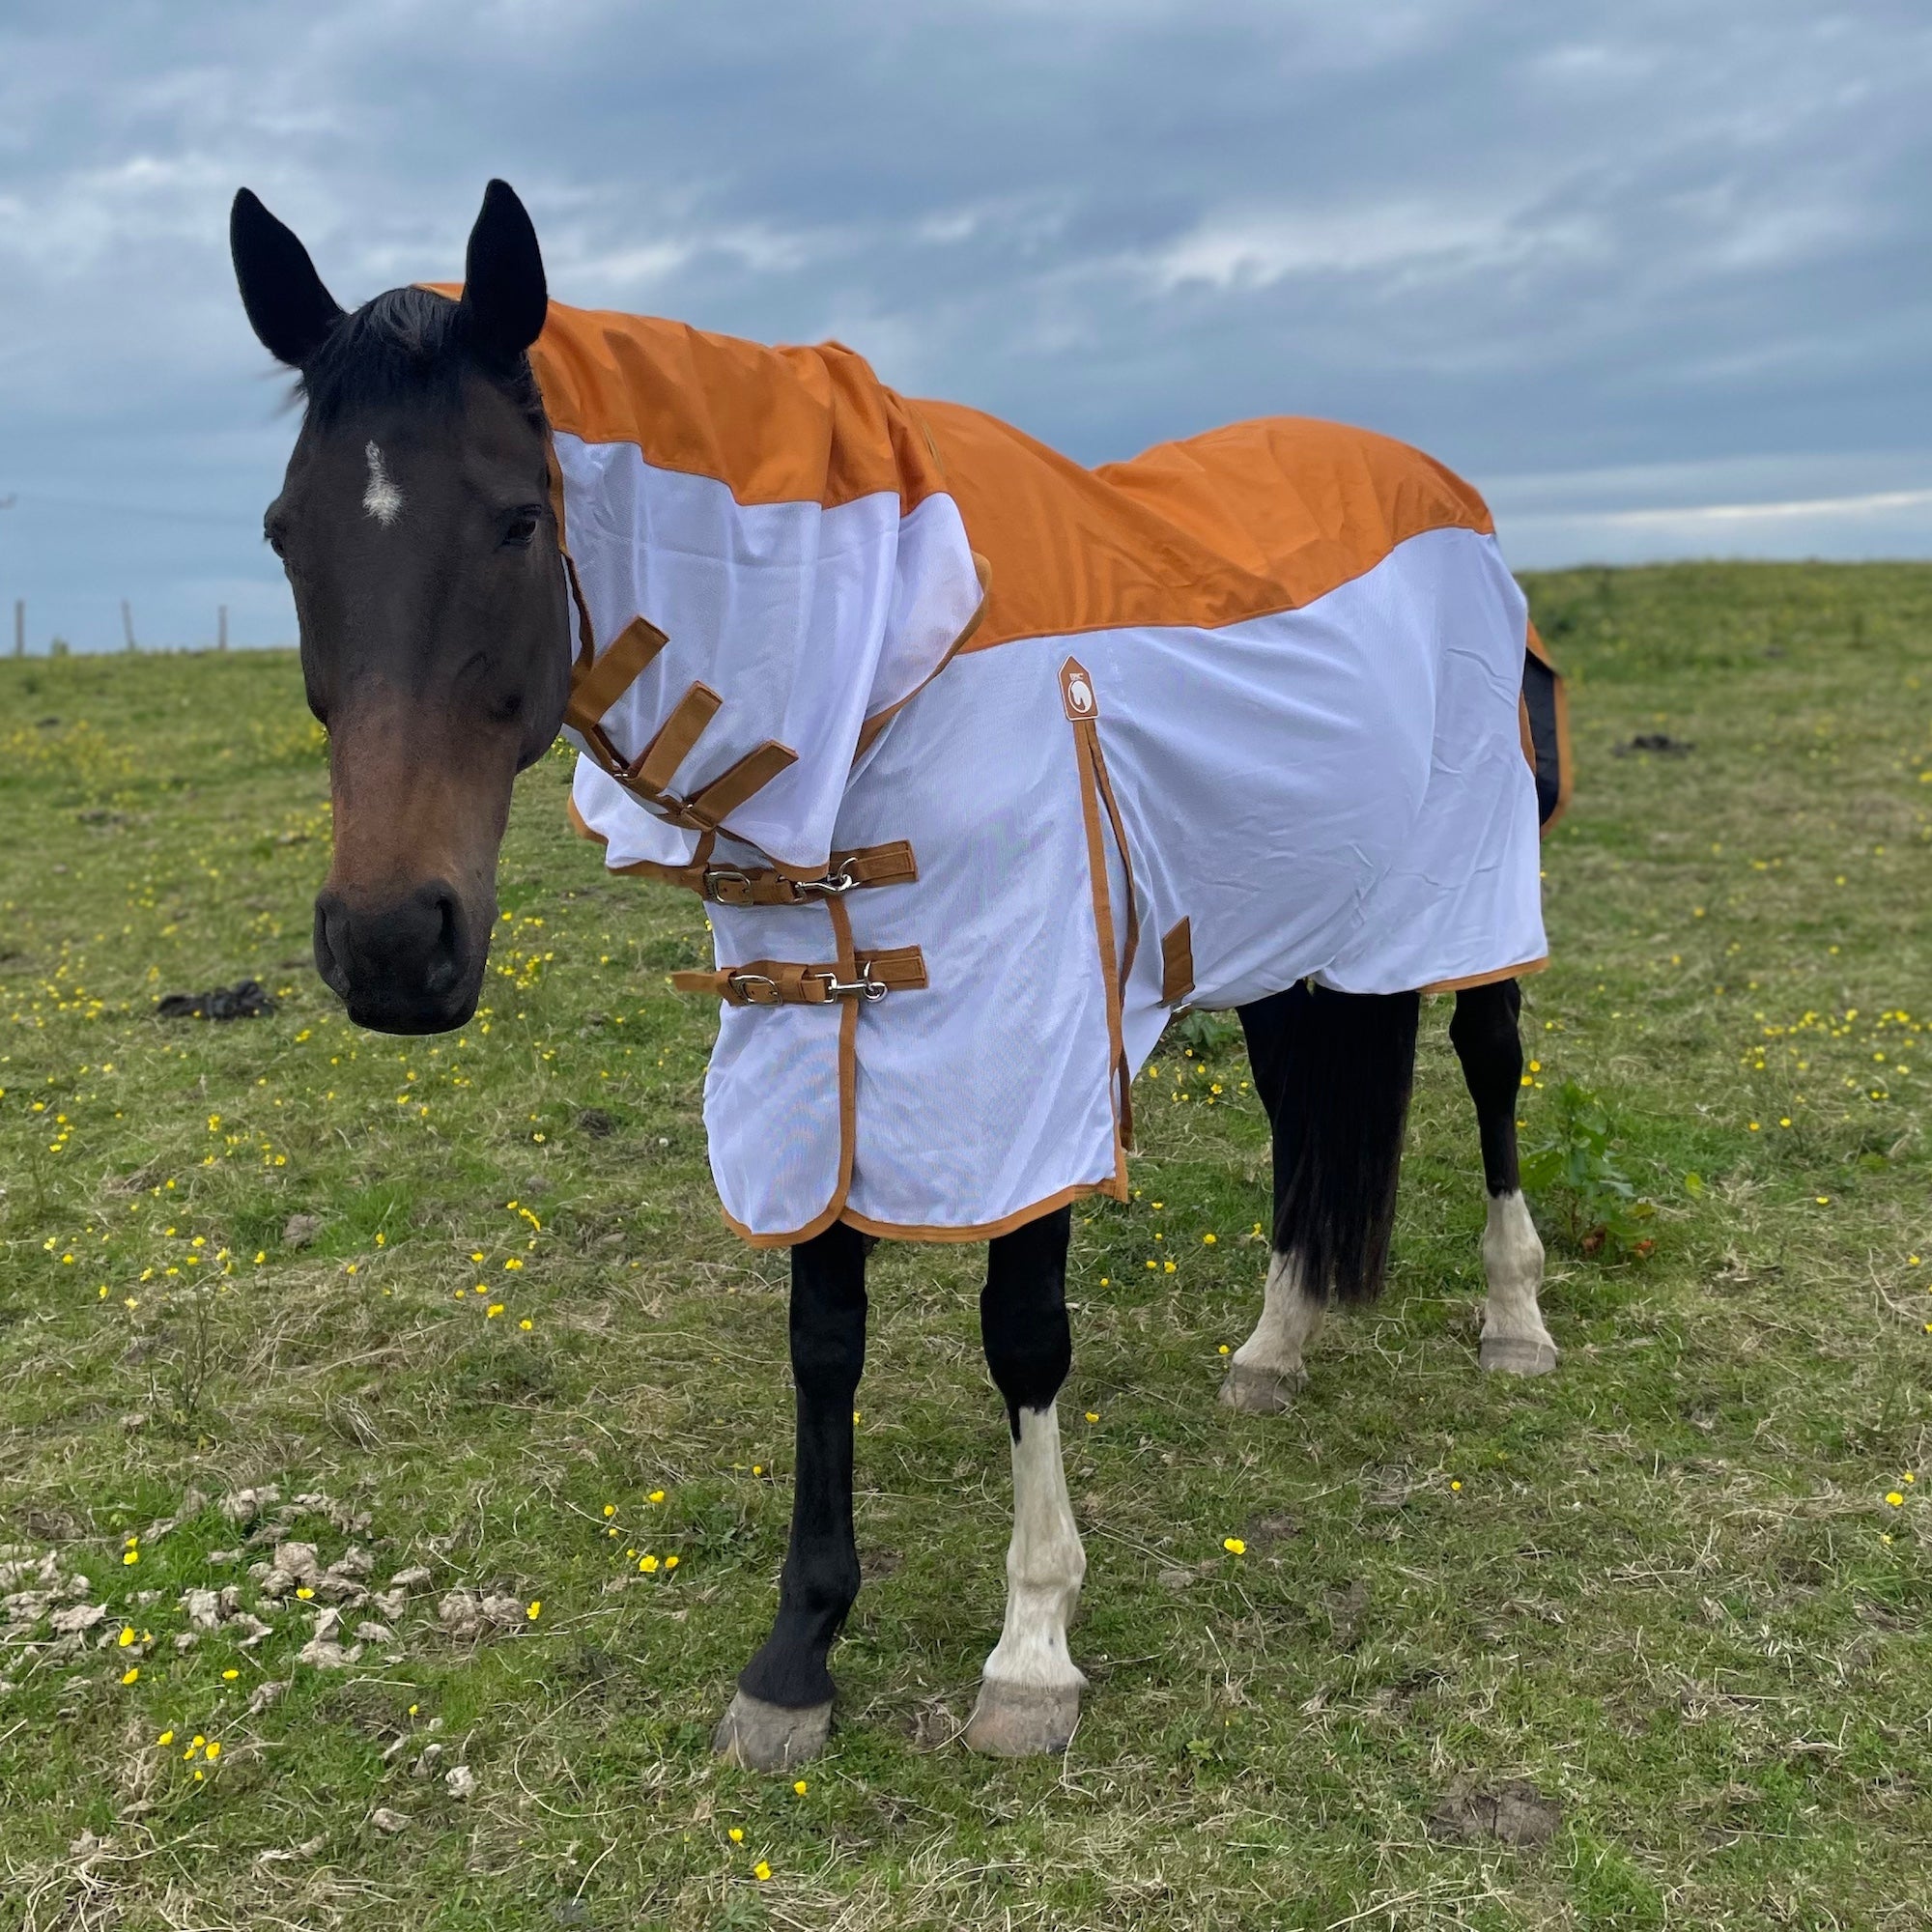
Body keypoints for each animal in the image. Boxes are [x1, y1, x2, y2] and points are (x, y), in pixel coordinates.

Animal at [230, 178, 1568, 1769]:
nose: (389, 944)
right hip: (1287, 923)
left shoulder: (1031, 1037)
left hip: (1467, 887)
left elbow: (1023, 1335)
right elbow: (824, 1337)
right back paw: (1275, 1341)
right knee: (1309, 1118)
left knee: (1489, 1068)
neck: (880, 656)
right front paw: (797, 1652)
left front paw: (1033, 1647)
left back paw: (1514, 1317)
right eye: (286, 533)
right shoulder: (815, 1041)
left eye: (515, 518)